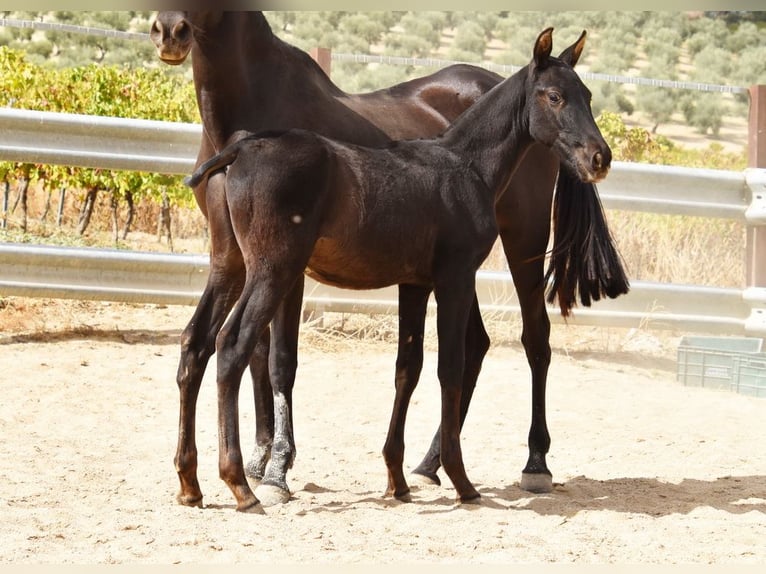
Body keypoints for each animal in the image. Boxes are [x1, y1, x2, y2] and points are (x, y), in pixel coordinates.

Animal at [150, 11, 628, 509]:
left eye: (587, 96)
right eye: (554, 96)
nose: (599, 157)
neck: (465, 164)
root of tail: (240, 147)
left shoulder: (416, 282)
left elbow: (407, 368)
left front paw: (396, 478)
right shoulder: (454, 277)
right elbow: (446, 368)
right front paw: (461, 481)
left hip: (233, 265)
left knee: (196, 342)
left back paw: (191, 483)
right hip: (272, 270)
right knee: (230, 345)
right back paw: (241, 483)